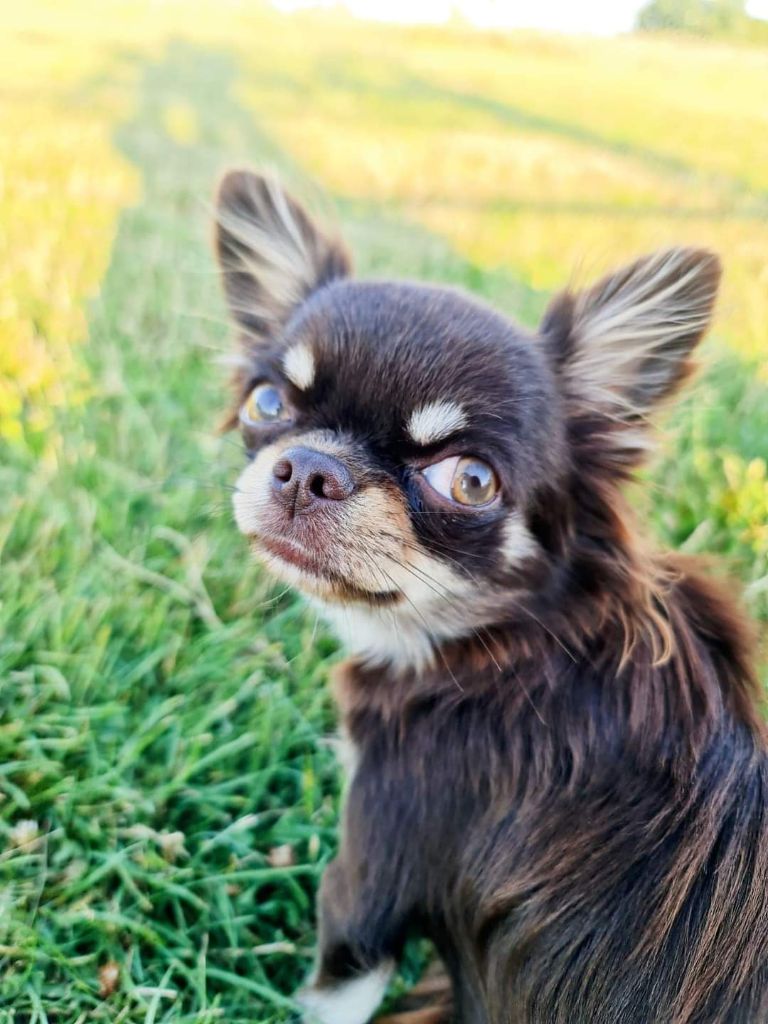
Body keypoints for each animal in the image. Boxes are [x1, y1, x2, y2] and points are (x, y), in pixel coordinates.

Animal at [214, 169, 768, 1023]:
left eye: (470, 481)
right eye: (267, 405)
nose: (308, 469)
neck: (515, 640)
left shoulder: (370, 878)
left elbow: (336, 989)